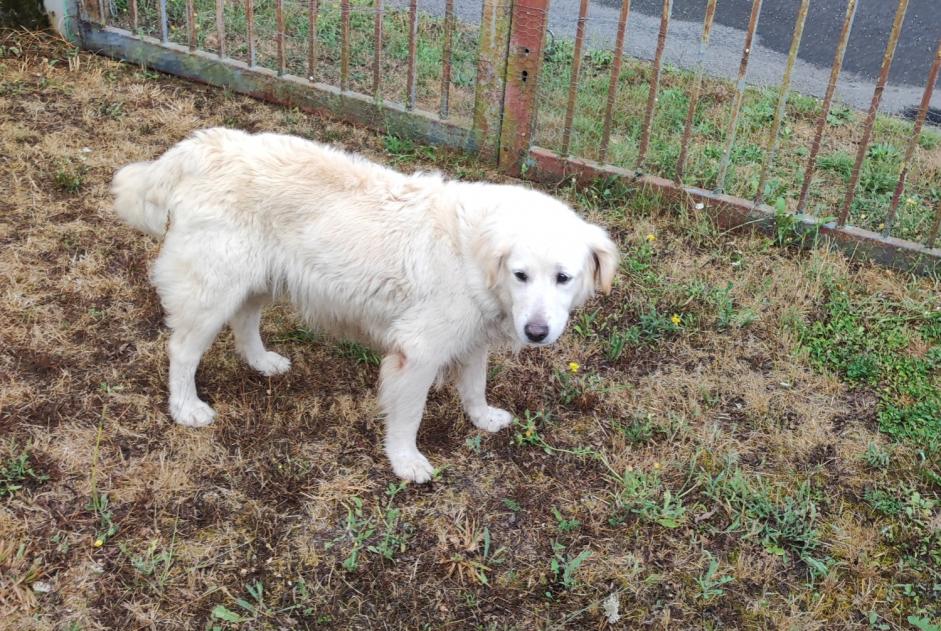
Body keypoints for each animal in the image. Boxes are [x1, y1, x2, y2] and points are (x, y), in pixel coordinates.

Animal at [110, 128, 620, 484]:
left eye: (563, 278)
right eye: (521, 275)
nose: (537, 333)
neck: (475, 253)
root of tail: (199, 146)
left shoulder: (473, 339)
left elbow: (474, 386)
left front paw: (483, 418)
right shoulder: (417, 353)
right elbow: (409, 416)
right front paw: (406, 462)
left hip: (256, 281)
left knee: (245, 320)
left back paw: (261, 362)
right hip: (212, 291)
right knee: (182, 351)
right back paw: (186, 407)